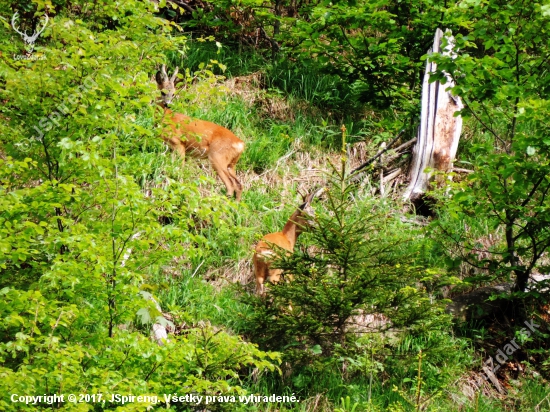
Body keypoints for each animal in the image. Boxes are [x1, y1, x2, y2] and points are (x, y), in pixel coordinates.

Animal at [155, 63, 246, 202]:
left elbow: (180, 168)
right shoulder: (170, 147)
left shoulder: (178, 143)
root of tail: (240, 144)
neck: (166, 119)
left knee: (230, 185)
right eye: (163, 91)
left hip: (217, 157)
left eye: (174, 94)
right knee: (239, 184)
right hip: (232, 163)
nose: (168, 104)